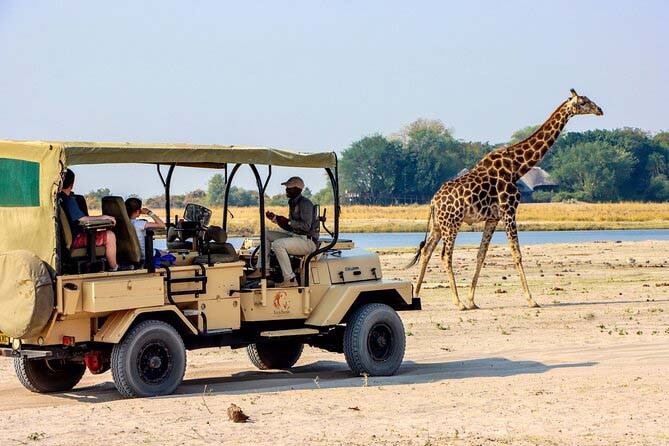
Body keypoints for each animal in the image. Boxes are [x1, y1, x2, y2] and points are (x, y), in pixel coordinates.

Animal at [408, 89, 603, 310]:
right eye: (583, 102)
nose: (600, 110)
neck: (517, 167)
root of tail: (433, 202)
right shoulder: (509, 210)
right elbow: (516, 253)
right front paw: (531, 299)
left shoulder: (493, 218)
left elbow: (481, 254)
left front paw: (472, 300)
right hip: (452, 223)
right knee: (445, 255)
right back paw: (457, 302)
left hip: (439, 224)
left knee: (426, 250)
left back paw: (417, 295)